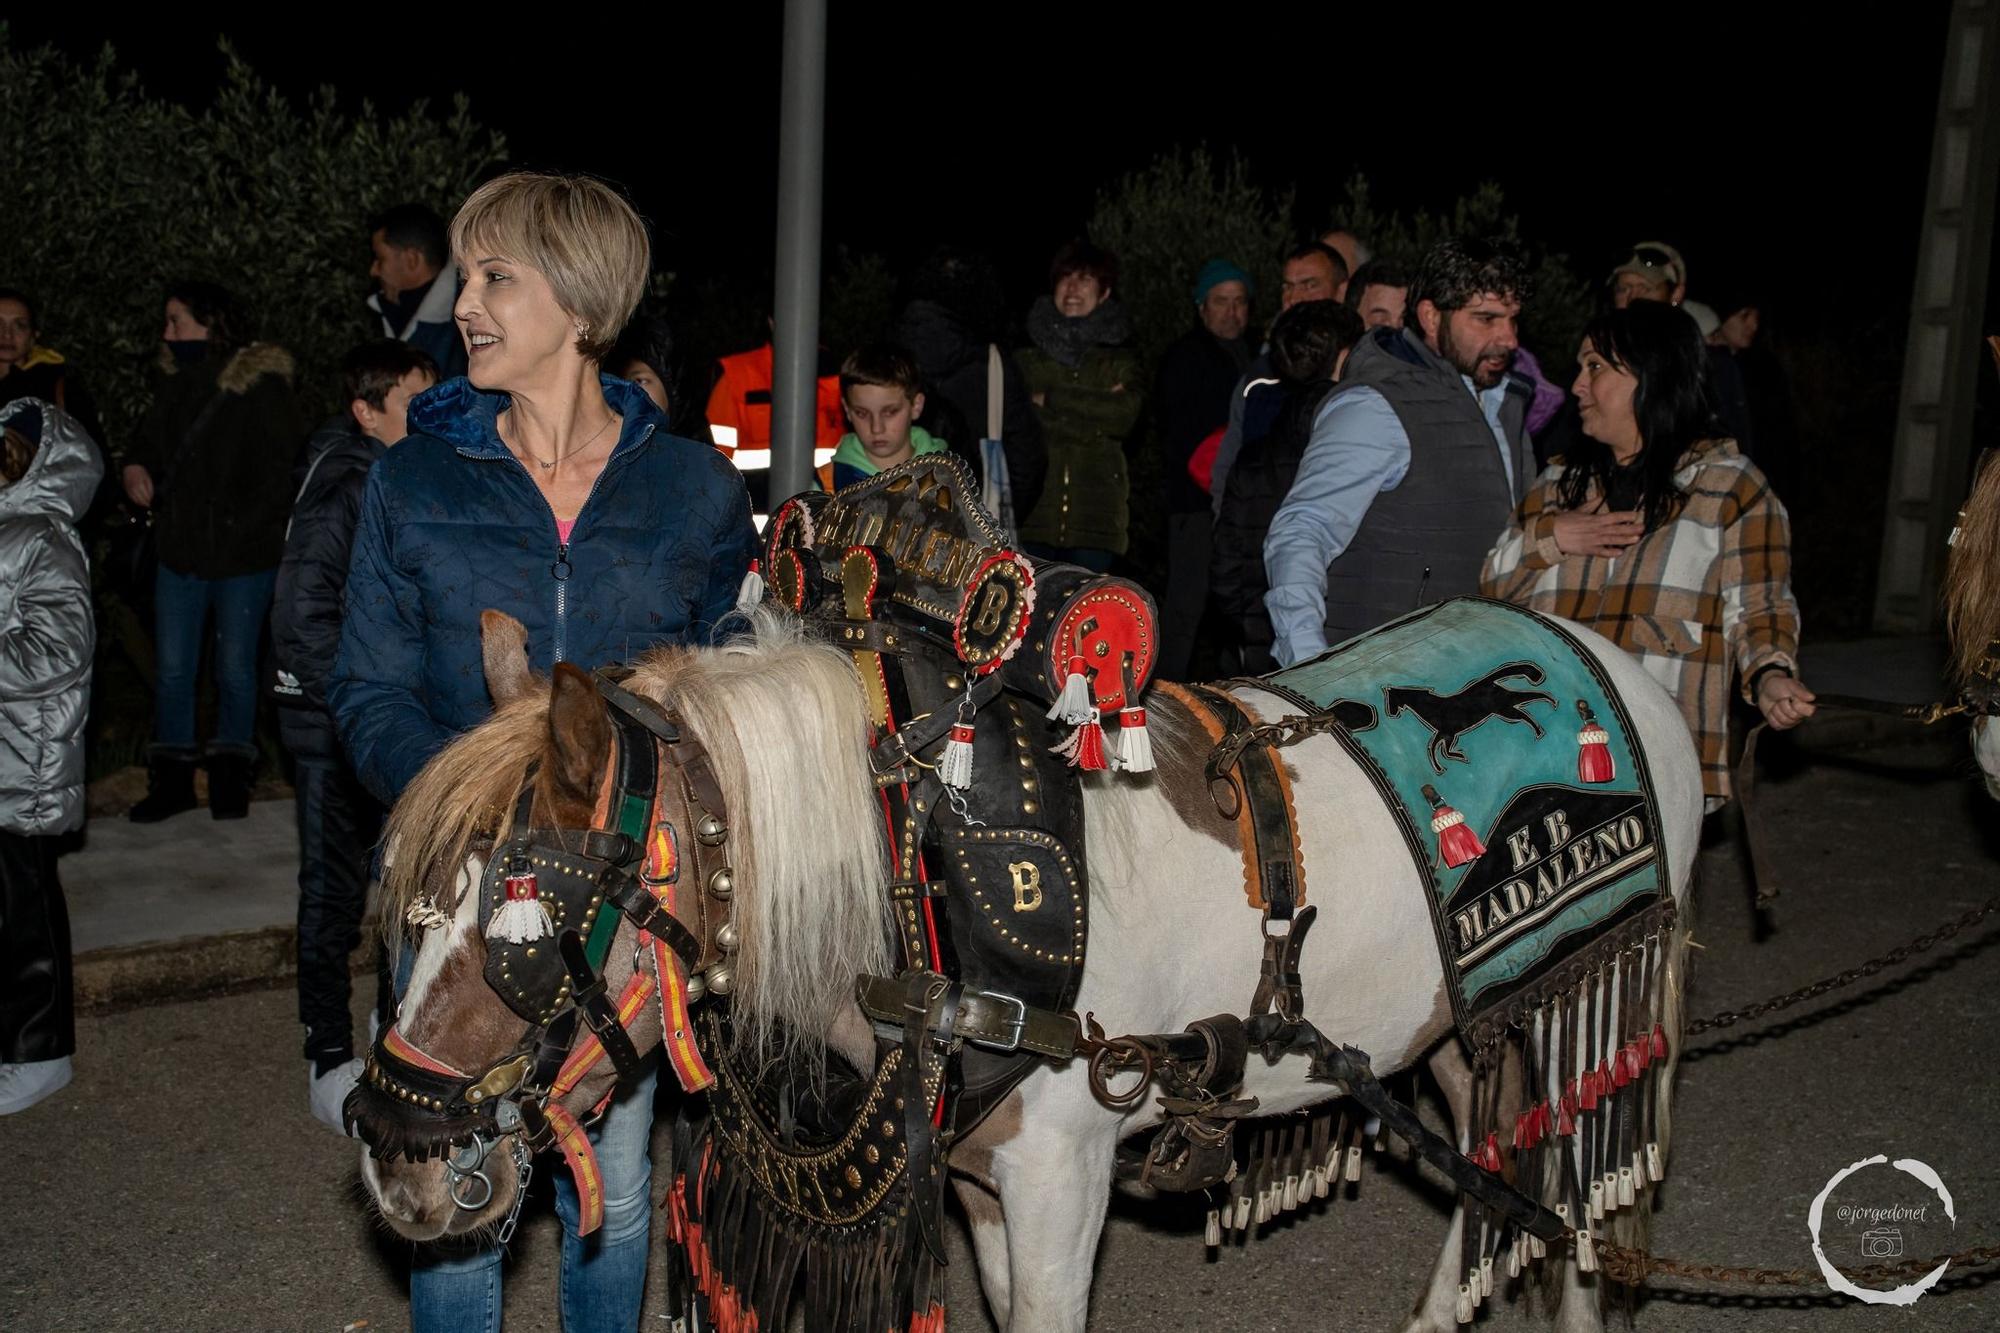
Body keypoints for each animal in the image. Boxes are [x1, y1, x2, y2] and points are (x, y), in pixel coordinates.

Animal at [352, 604, 1696, 1328]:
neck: (929, 885)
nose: (394, 1156)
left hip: (1586, 977)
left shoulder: (1061, 1172)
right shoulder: (985, 1180)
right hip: (1455, 1017)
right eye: (413, 912)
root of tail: (1626, 668)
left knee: (1573, 1170)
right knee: (1493, 1143)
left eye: (522, 933)